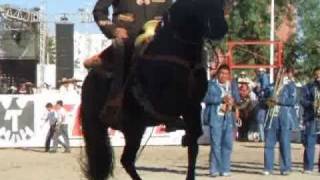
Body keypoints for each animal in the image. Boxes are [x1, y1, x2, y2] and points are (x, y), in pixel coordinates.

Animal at [81, 0, 229, 179]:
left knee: (126, 160)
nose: (221, 27)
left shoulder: (193, 107)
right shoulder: (166, 103)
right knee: (125, 160)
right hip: (125, 128)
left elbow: (194, 145)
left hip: (134, 128)